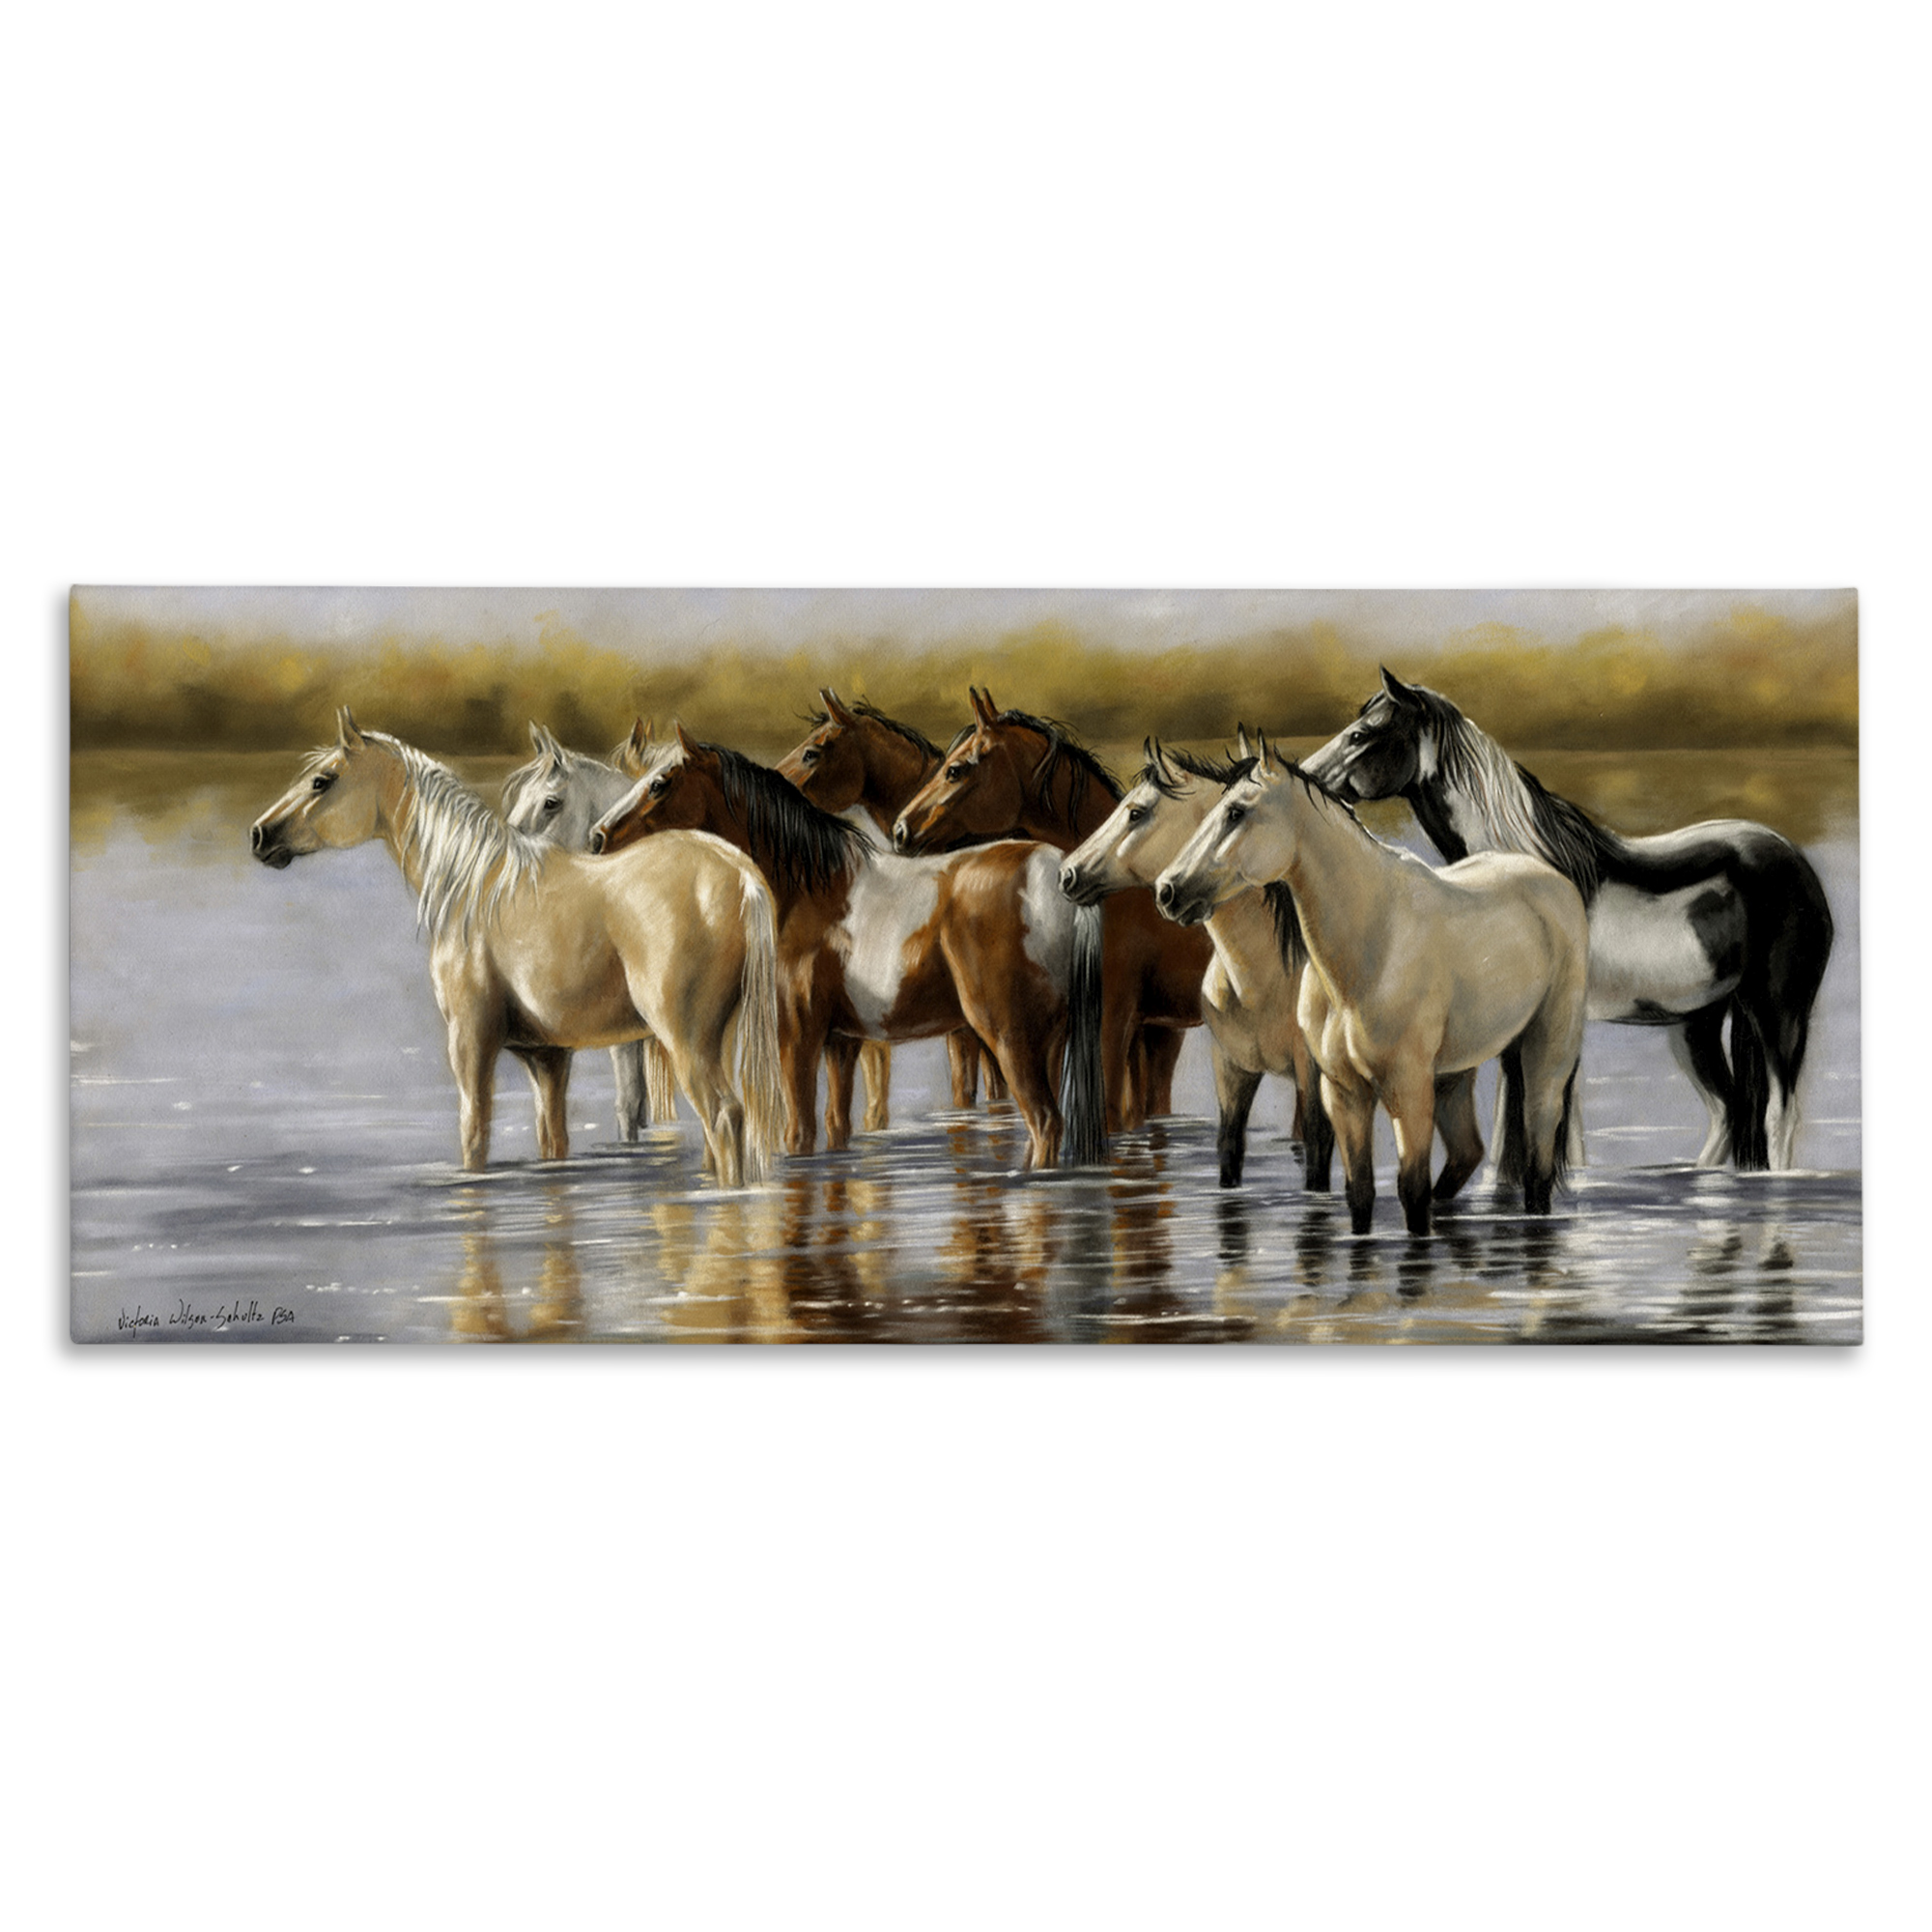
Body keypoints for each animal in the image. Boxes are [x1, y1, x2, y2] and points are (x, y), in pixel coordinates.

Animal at [249, 709, 785, 1187]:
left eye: (321, 781)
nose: (259, 835)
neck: (481, 887)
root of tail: (738, 874)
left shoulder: (470, 1041)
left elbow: (474, 1135)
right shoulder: (546, 1056)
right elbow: (553, 1142)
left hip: (685, 1042)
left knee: (723, 1117)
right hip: (717, 1040)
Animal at [1156, 736, 1589, 1236]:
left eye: (1236, 812)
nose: (1168, 891)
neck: (1371, 947)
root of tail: (1552, 881)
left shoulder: (1407, 1091)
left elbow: (1412, 1193)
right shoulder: (1344, 1093)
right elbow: (1359, 1194)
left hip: (1546, 1057)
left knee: (1537, 1164)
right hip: (1454, 1074)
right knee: (1468, 1153)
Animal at [1300, 668, 1834, 1172]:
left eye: (1362, 733)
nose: (1302, 774)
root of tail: (1792, 860)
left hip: (1779, 1014)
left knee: (1777, 1117)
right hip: (1697, 1023)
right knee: (1729, 1111)